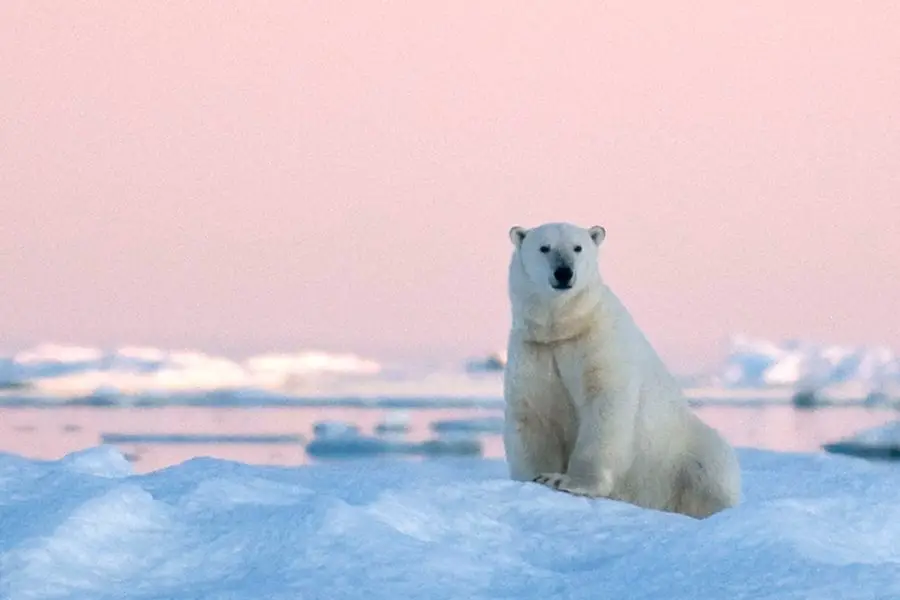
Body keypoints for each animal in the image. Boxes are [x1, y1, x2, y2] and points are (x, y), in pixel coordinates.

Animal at [502, 223, 740, 516]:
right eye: (544, 247)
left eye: (578, 247)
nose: (564, 272)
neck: (563, 328)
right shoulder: (535, 350)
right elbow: (534, 413)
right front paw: (536, 478)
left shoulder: (599, 342)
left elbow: (605, 406)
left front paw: (566, 480)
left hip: (682, 449)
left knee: (711, 468)